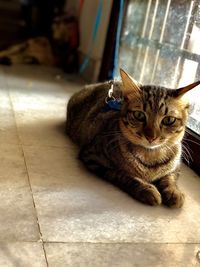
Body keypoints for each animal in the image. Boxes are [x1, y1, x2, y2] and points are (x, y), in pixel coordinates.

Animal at [66, 69, 199, 207]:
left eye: (168, 120)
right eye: (139, 115)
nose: (151, 137)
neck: (150, 157)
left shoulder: (176, 167)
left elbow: (169, 178)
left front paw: (174, 192)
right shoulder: (93, 157)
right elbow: (124, 175)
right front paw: (146, 189)